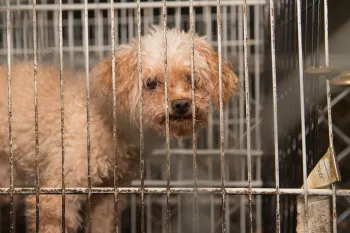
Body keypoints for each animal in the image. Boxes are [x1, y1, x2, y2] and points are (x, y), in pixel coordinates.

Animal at [0, 26, 239, 233]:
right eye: (151, 83)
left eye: (191, 78)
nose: (181, 104)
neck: (109, 122)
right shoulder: (58, 192)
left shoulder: (107, 194)